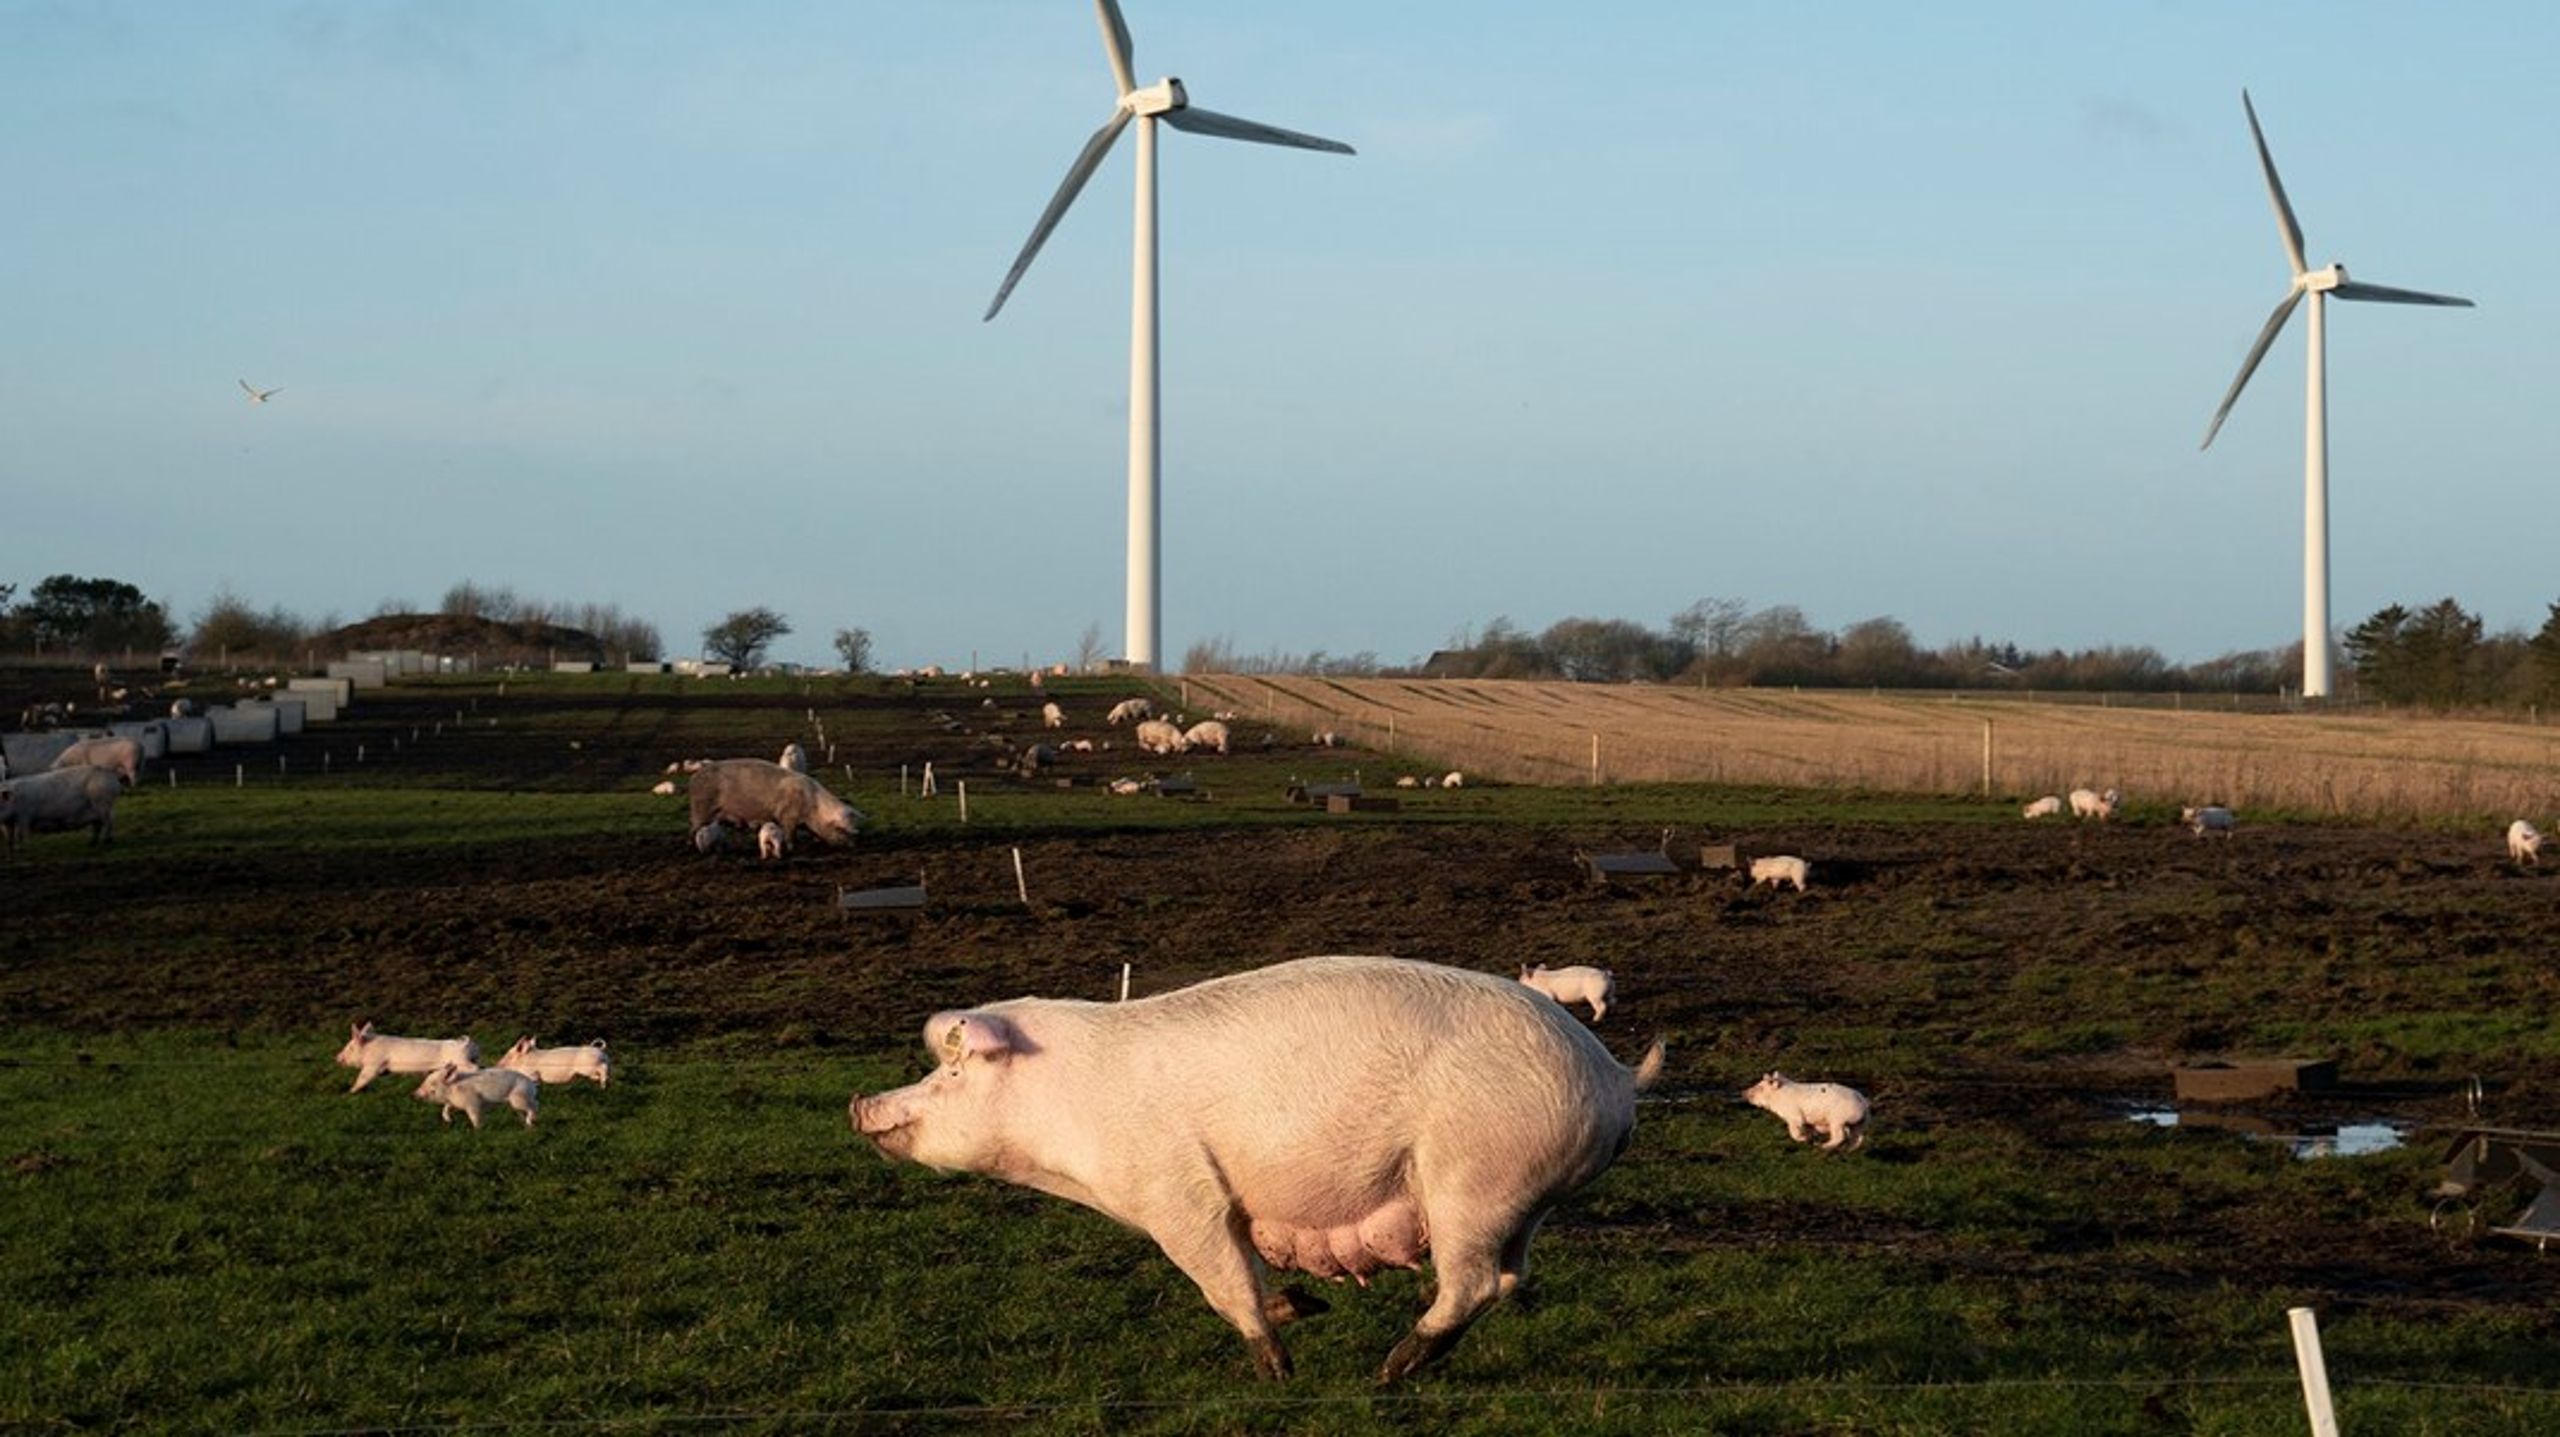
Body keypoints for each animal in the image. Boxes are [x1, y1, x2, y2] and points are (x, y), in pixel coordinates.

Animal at [335, 1019, 481, 1086]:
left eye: (350, 1048)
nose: (336, 1058)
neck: (370, 1047)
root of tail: (466, 1043)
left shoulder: (375, 1062)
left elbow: (364, 1077)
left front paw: (351, 1091)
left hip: (460, 1060)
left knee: (475, 1068)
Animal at [691, 758, 870, 845]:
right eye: (842, 829)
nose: (854, 845)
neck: (814, 807)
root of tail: (696, 776)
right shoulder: (788, 816)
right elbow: (790, 834)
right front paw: (792, 847)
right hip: (701, 807)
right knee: (694, 829)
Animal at [849, 952, 1669, 1383]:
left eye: (953, 1072)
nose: (861, 1101)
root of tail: (1616, 1077)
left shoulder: (1178, 1194)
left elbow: (1222, 1281)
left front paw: (1278, 1371)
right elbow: (1248, 1274)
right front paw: (1305, 1308)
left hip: (1471, 1179)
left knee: (1471, 1282)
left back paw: (1390, 1368)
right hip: (1522, 1198)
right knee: (1510, 1276)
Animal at [1730, 1070, 1873, 1147]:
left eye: (1760, 1087)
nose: (1743, 1092)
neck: (1778, 1097)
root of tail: (1863, 1102)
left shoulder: (1794, 1115)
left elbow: (1794, 1131)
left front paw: (1805, 1139)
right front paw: (1810, 1137)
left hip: (1837, 1119)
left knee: (1840, 1136)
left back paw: (1822, 1146)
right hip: (1860, 1123)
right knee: (1858, 1137)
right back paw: (1847, 1149)